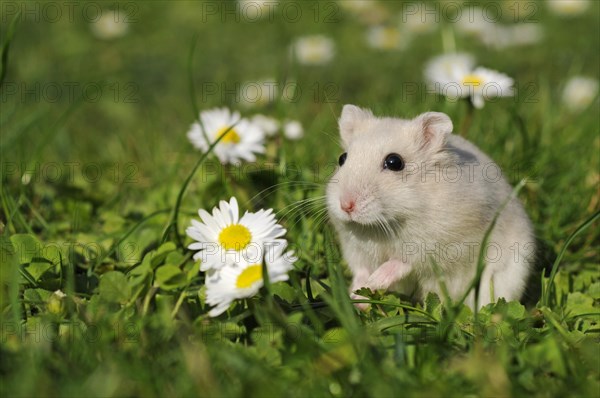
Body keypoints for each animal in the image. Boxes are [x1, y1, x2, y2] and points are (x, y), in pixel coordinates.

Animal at [328, 105, 536, 308]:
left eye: (394, 162)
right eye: (342, 158)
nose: (346, 205)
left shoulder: (440, 245)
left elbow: (402, 263)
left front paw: (374, 281)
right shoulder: (355, 248)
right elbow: (360, 269)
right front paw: (356, 296)